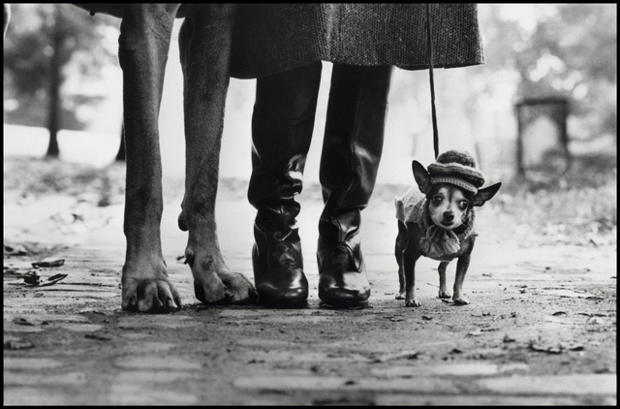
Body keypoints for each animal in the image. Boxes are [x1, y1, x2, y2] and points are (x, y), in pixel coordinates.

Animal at [394, 151, 502, 306]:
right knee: (401, 270)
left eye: (464, 204)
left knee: (441, 268)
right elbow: (411, 280)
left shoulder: (465, 257)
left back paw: (443, 291)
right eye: (437, 199)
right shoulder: (409, 254)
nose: (449, 214)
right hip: (400, 244)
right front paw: (411, 298)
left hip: (448, 255)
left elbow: (459, 279)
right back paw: (402, 292)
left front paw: (458, 297)